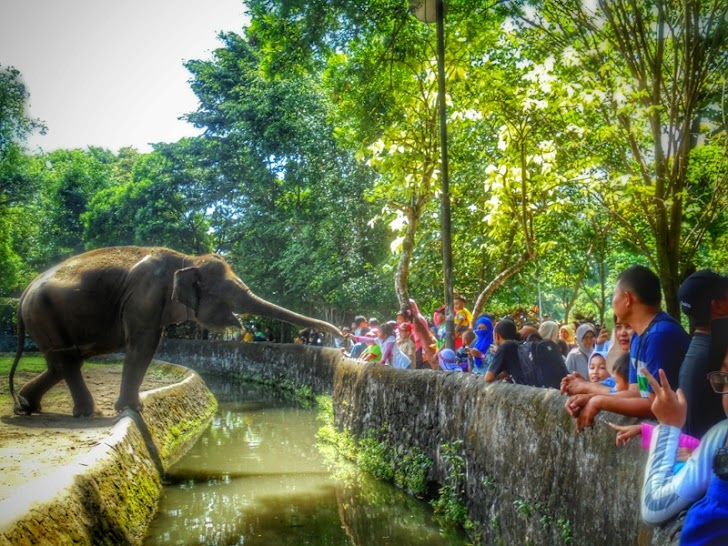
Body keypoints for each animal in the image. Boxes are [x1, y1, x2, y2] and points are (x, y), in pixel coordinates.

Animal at [9, 246, 342, 416]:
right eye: (228, 292)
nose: (343, 334)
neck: (186, 259)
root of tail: (23, 294)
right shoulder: (144, 296)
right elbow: (143, 344)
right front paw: (132, 409)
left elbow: (149, 344)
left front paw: (133, 407)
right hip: (44, 315)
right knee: (67, 360)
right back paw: (85, 413)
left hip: (46, 321)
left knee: (62, 361)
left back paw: (27, 406)